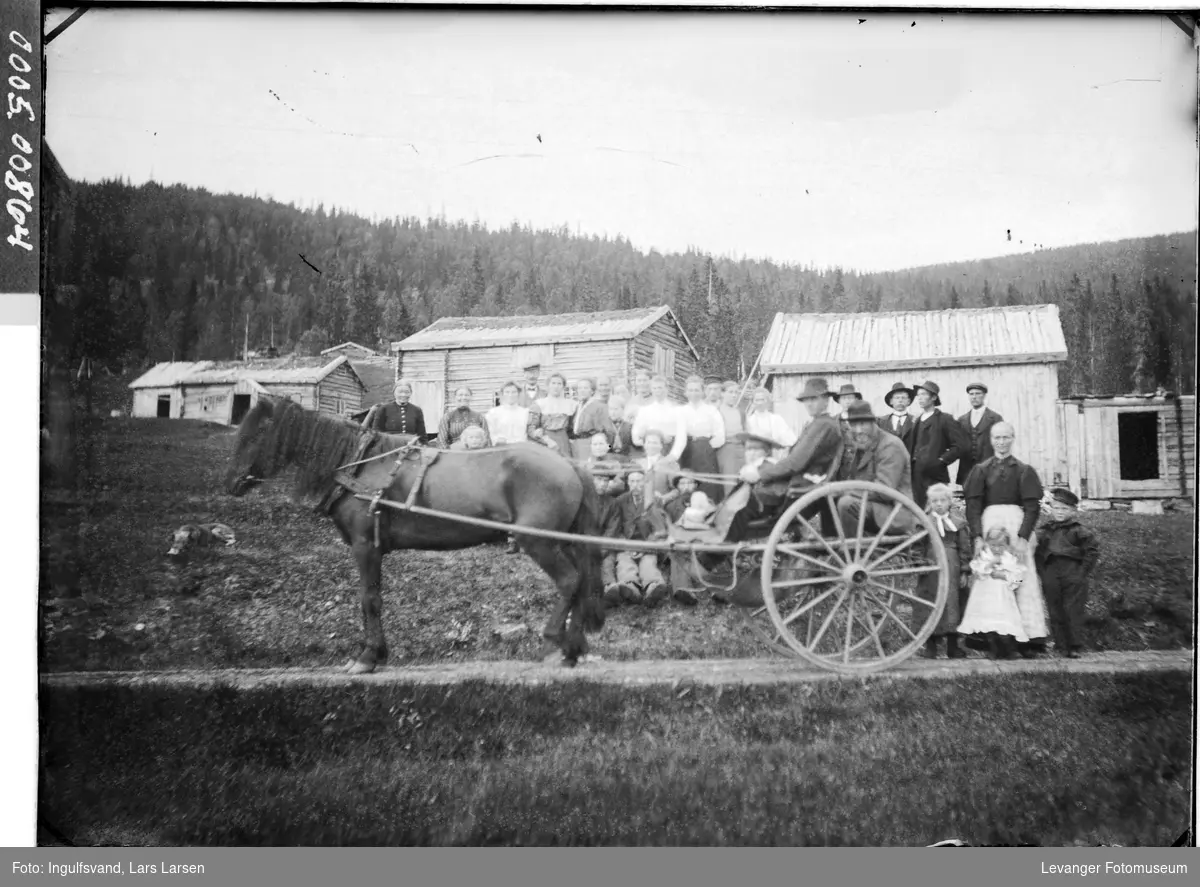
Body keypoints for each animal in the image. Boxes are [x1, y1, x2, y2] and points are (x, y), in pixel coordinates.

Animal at [222, 396, 604, 672]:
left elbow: (370, 600)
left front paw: (368, 656)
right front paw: (375, 653)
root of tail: (569, 464)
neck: (360, 465)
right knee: (581, 582)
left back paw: (553, 643)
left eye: (259, 433)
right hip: (565, 541)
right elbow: (372, 600)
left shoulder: (365, 546)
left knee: (569, 581)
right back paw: (574, 648)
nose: (231, 482)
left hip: (537, 541)